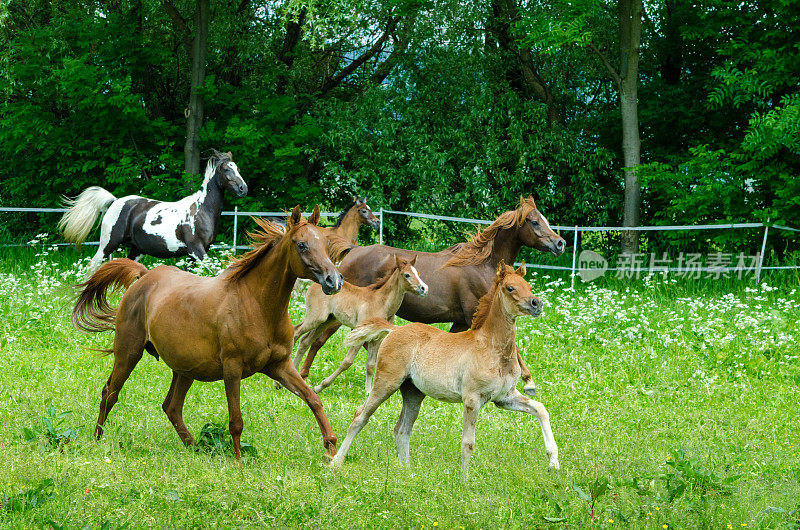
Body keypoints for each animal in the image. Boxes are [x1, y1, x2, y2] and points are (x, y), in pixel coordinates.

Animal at [58, 150, 247, 270]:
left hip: (136, 250)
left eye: (238, 168)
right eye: (226, 169)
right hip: (108, 244)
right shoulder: (197, 250)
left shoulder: (194, 254)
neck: (201, 210)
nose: (243, 189)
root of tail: (116, 201)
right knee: (92, 267)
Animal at [75, 205, 346, 458]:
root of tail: (145, 276)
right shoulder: (232, 369)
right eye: (301, 245)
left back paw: (195, 448)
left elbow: (313, 399)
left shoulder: (280, 366)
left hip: (185, 368)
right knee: (110, 393)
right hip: (128, 353)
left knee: (171, 406)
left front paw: (331, 448)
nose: (334, 280)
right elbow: (236, 421)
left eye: (325, 243)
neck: (257, 305)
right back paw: (96, 440)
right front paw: (237, 462)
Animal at [292, 254, 428, 394]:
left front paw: (368, 391)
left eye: (418, 273)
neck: (381, 302)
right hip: (315, 318)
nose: (424, 288)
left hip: (325, 321)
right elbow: (347, 362)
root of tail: (315, 284)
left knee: (304, 340)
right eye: (407, 275)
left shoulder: (376, 339)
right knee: (296, 332)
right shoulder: (360, 335)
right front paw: (321, 386)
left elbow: (371, 365)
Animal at [328, 260, 560, 478]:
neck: (492, 348)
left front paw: (553, 462)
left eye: (529, 286)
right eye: (510, 288)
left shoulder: (504, 397)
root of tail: (394, 329)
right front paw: (464, 480)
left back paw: (407, 471)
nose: (536, 303)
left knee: (402, 429)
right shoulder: (472, 399)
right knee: (361, 416)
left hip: (413, 392)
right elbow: (468, 442)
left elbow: (541, 409)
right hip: (386, 383)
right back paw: (337, 462)